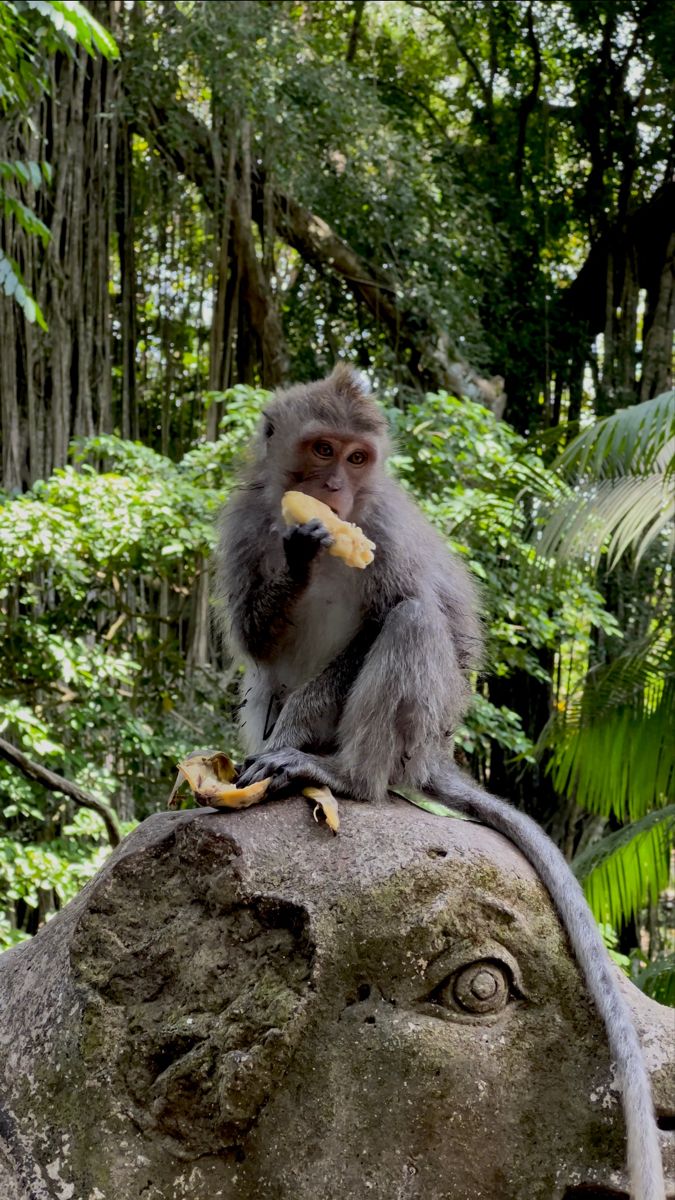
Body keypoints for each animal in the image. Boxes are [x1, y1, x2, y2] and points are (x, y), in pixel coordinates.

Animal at [214, 362, 662, 1200]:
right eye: (320, 449)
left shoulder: (382, 528)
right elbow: (254, 639)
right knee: (266, 680)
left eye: (357, 458)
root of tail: (432, 755)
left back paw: (340, 774)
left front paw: (296, 749)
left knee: (412, 619)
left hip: (413, 731)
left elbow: (383, 618)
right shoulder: (242, 519)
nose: (333, 487)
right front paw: (296, 550)